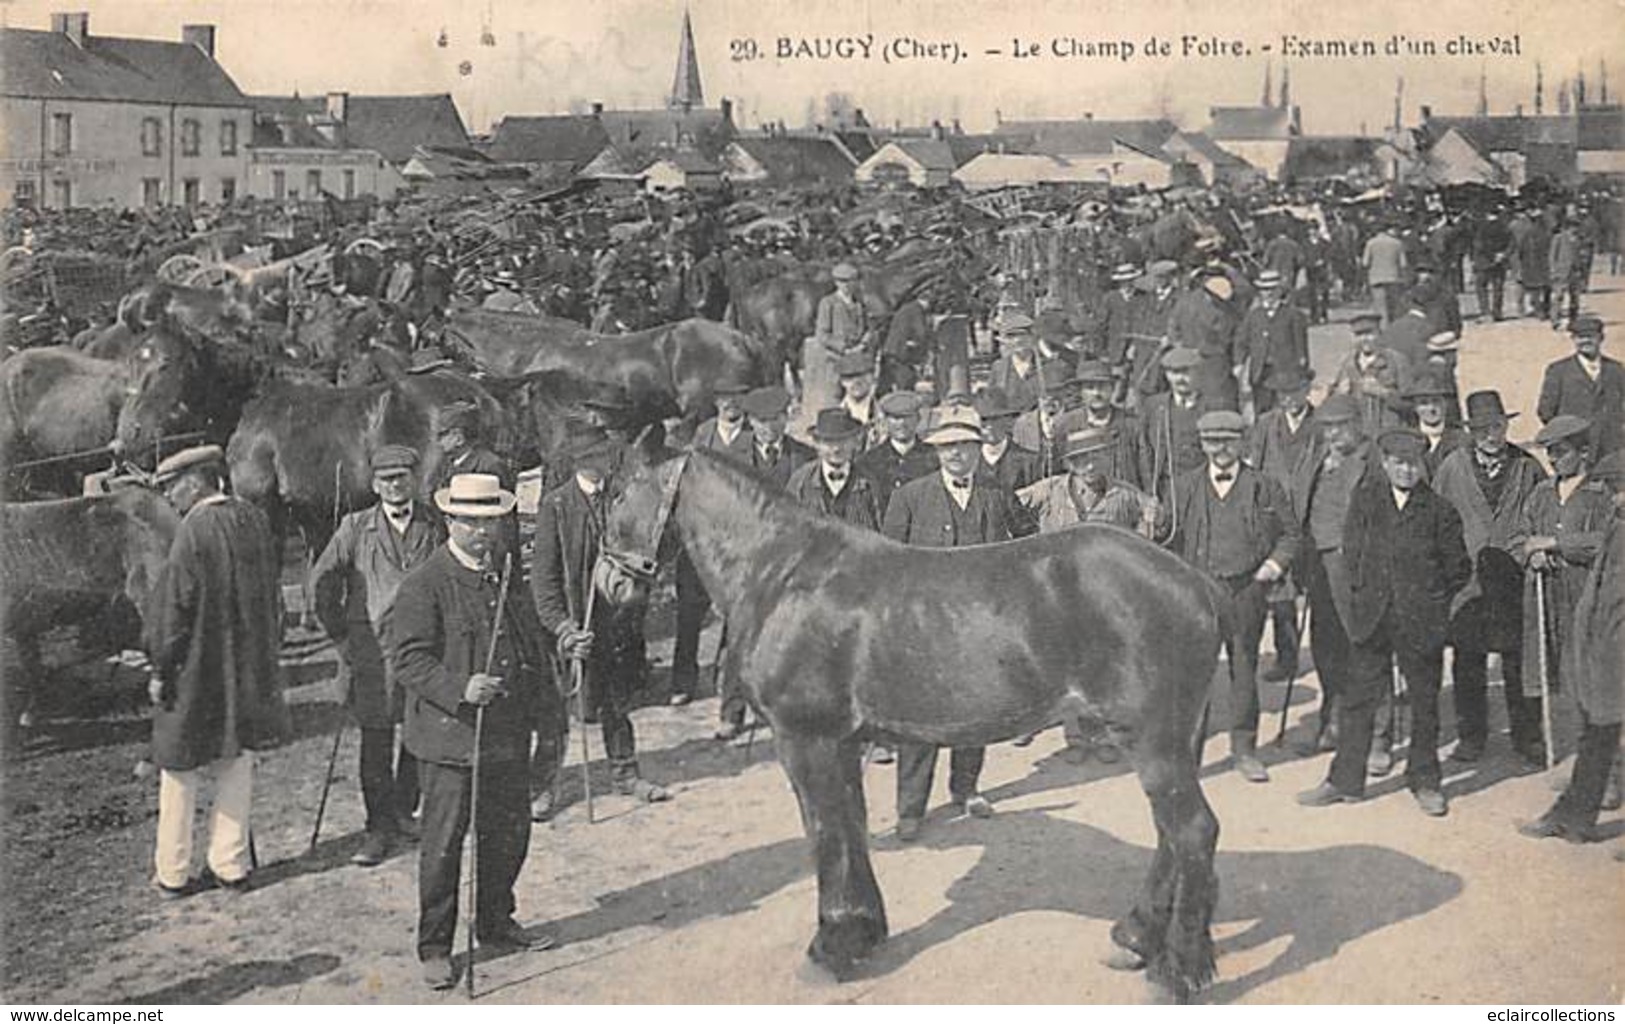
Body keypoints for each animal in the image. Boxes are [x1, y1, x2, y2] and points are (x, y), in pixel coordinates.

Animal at [604, 448, 1222, 1001]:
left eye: (618, 490)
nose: (610, 585)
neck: (785, 572)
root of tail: (1198, 584)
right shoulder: (842, 743)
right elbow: (851, 828)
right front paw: (864, 932)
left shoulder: (805, 740)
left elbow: (825, 834)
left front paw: (830, 947)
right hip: (1170, 742)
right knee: (1171, 835)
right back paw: (1136, 938)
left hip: (1154, 741)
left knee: (1193, 831)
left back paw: (1176, 974)